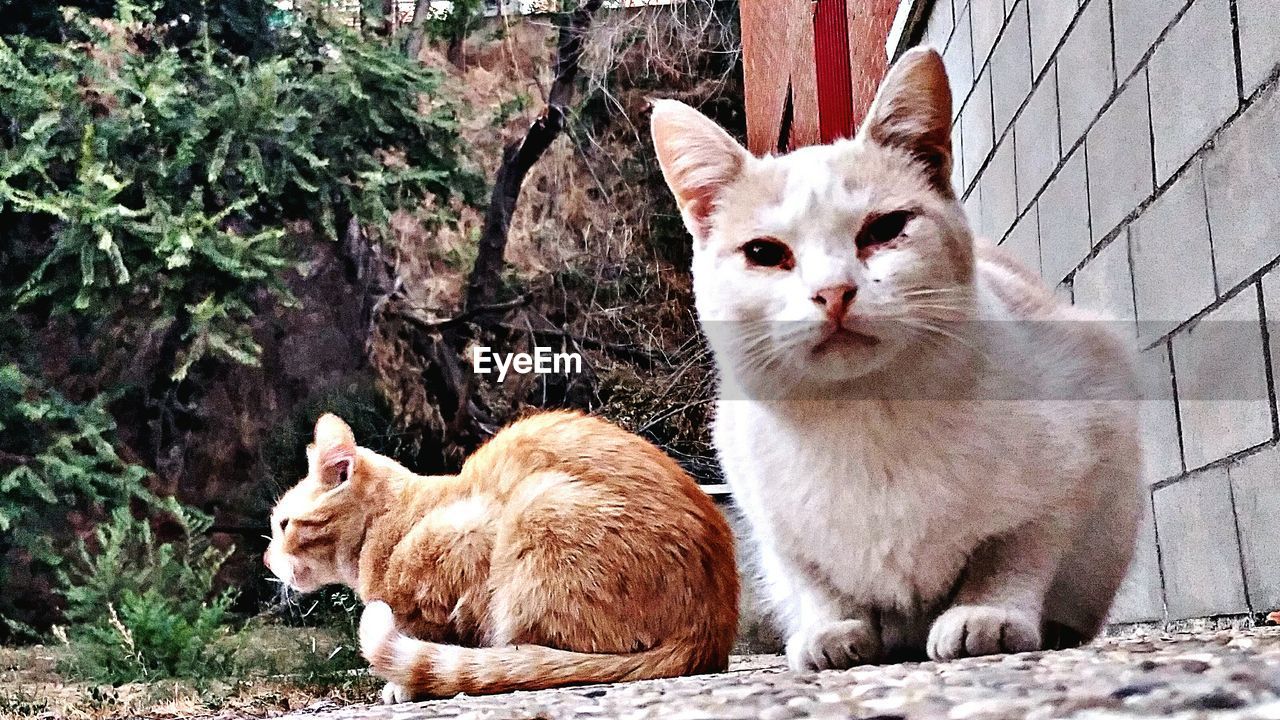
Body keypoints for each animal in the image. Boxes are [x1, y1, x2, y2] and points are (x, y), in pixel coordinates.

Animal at [264, 409, 737, 702]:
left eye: (284, 524)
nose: (267, 561)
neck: (390, 526)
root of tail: (709, 631)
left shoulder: (469, 537)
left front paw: (405, 685)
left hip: (540, 508)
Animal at [650, 49, 1141, 666]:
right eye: (763, 253)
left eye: (885, 228)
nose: (833, 291)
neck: (867, 420)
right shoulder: (771, 516)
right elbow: (814, 578)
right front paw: (833, 629)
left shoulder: (1078, 447)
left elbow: (1014, 553)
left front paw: (989, 614)